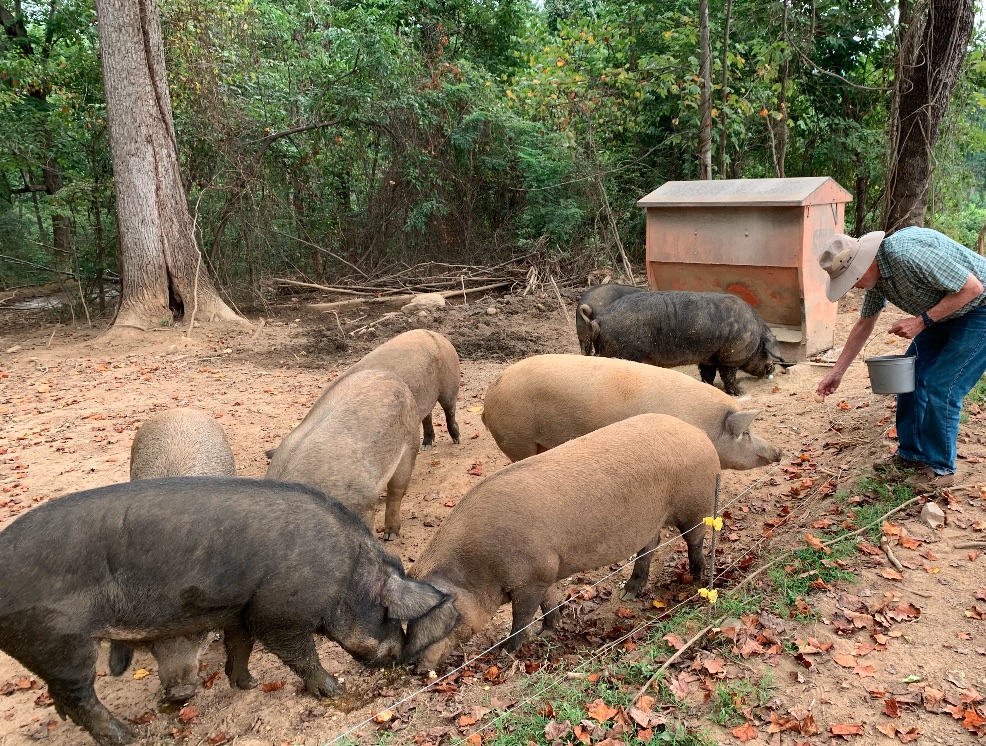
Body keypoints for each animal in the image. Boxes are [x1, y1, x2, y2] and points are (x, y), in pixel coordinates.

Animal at [0, 477, 452, 746]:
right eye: (391, 616)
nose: (399, 659)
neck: (345, 575)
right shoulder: (279, 612)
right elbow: (300, 653)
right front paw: (334, 690)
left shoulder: (239, 610)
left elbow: (241, 646)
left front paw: (247, 685)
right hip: (60, 640)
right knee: (80, 695)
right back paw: (128, 736)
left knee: (63, 693)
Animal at [402, 414, 719, 672]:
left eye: (430, 614)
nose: (413, 666)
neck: (478, 565)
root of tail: (698, 434)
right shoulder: (545, 570)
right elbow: (550, 601)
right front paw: (547, 632)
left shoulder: (529, 579)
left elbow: (521, 618)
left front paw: (508, 651)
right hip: (650, 522)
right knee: (650, 545)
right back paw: (628, 594)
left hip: (695, 504)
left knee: (695, 540)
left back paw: (697, 579)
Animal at [587, 290, 785, 395]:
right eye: (766, 353)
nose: (772, 368)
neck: (756, 335)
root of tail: (600, 320)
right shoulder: (731, 356)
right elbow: (728, 376)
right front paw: (737, 392)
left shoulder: (708, 357)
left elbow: (707, 375)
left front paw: (708, 387)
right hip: (626, 353)